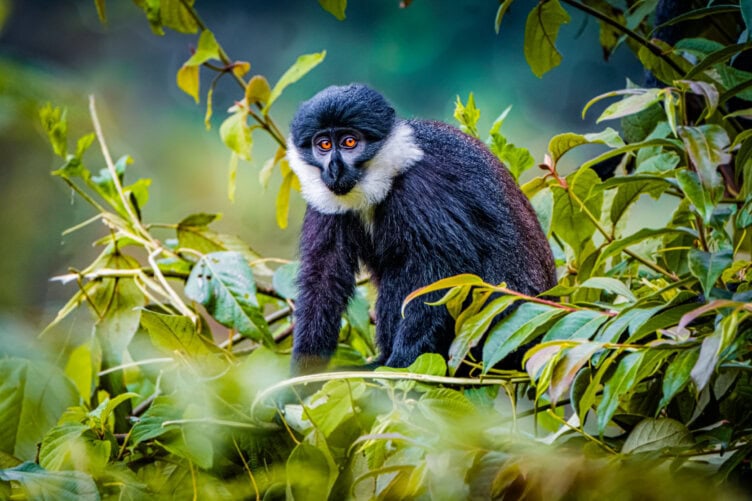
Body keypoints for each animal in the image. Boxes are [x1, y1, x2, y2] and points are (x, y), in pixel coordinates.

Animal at [287, 84, 556, 374]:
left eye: (350, 142)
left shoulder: (421, 189)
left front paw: (402, 366)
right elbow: (323, 277)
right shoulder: (324, 201)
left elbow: (441, 273)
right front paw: (303, 374)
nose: (334, 169)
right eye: (324, 145)